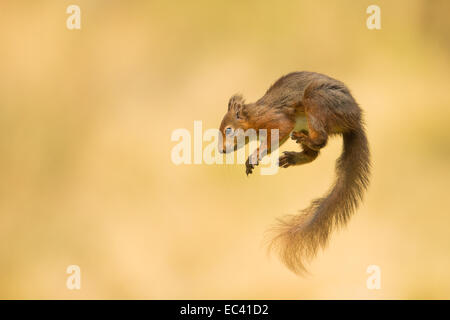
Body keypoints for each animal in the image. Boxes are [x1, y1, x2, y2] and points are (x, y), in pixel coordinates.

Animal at [220, 71, 370, 274]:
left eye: (228, 130)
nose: (221, 150)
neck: (253, 116)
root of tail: (354, 122)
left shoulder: (275, 119)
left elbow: (279, 131)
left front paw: (255, 154)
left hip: (316, 100)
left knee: (320, 140)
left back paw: (305, 140)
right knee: (314, 153)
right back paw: (294, 157)